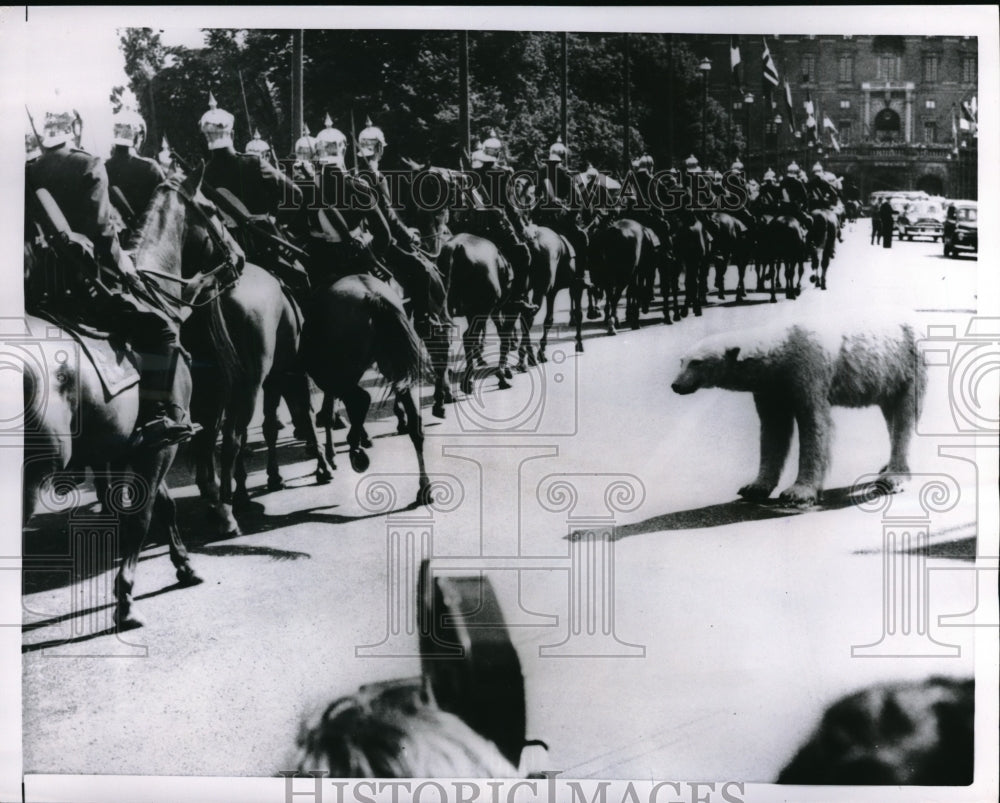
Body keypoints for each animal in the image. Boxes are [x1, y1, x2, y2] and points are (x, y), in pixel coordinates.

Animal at [668, 312, 924, 506]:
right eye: (681, 361)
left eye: (697, 362)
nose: (676, 385)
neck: (782, 350)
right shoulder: (770, 387)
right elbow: (774, 429)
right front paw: (754, 487)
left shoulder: (808, 371)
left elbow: (814, 424)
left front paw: (798, 493)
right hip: (886, 377)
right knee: (891, 414)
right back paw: (886, 467)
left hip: (906, 365)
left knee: (905, 415)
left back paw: (894, 478)